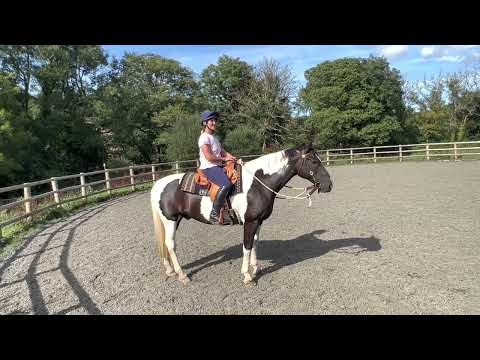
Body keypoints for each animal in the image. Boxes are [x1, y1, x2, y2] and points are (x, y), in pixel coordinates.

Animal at [151, 142, 334, 286]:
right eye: (313, 161)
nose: (328, 185)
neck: (258, 184)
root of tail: (159, 184)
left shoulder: (259, 221)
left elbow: (255, 244)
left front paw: (256, 268)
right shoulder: (250, 221)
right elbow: (247, 246)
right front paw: (247, 276)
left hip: (174, 220)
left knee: (165, 245)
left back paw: (170, 270)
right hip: (170, 220)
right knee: (170, 245)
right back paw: (182, 275)